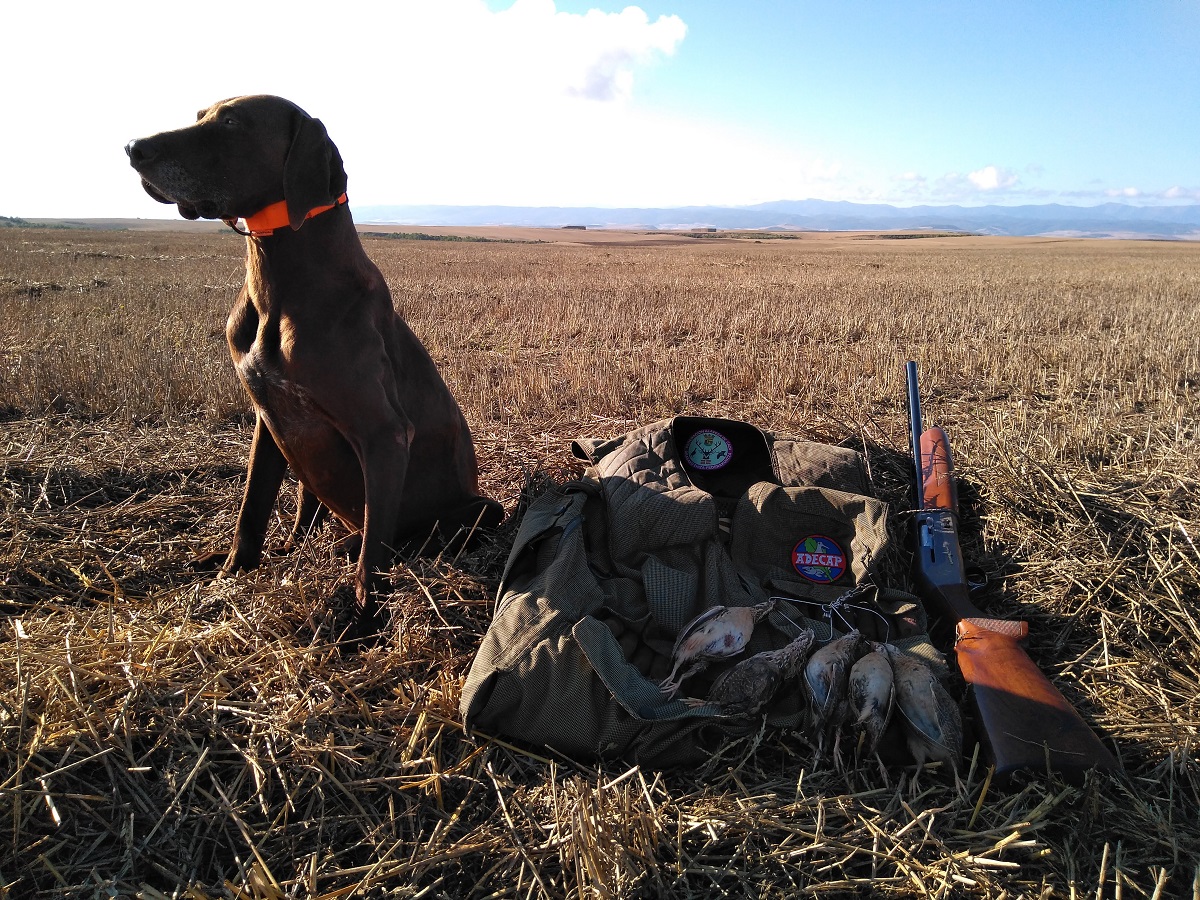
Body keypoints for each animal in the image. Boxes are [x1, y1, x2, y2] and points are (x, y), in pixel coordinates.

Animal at [129, 95, 504, 638]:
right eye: (201, 115)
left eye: (231, 122)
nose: (134, 148)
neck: (281, 290)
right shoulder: (268, 418)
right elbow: (252, 509)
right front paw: (231, 574)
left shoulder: (385, 435)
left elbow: (375, 552)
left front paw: (363, 620)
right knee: (311, 511)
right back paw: (298, 544)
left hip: (482, 508)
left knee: (396, 536)